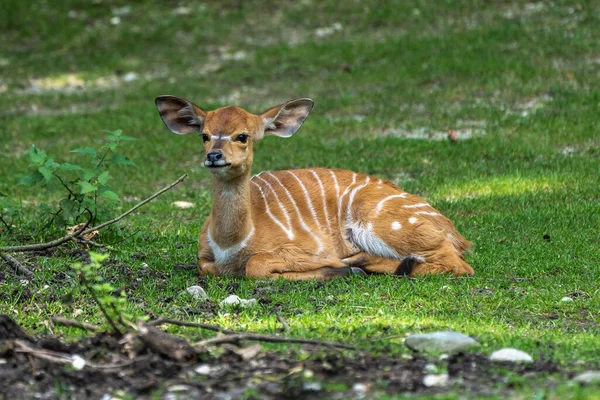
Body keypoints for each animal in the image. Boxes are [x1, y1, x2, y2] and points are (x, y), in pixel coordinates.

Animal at [157, 95, 476, 280]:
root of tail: (453, 230)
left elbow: (256, 266)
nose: (214, 156)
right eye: (204, 135)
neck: (231, 243)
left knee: (458, 264)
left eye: (242, 136)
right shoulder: (205, 257)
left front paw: (336, 268)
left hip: (384, 225)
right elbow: (207, 267)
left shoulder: (305, 249)